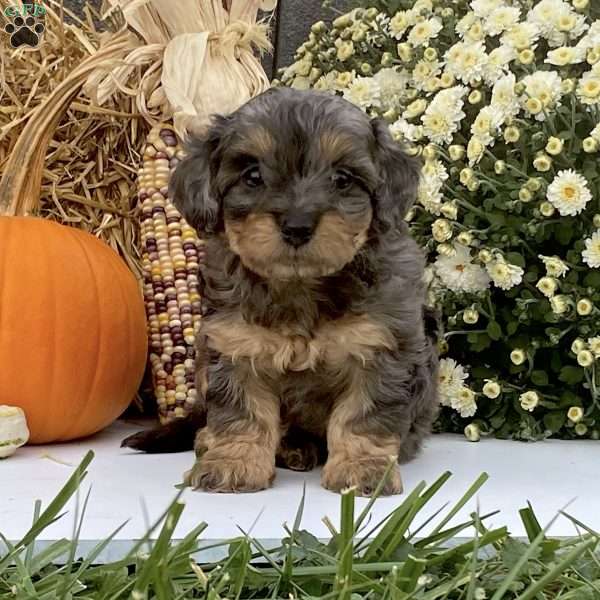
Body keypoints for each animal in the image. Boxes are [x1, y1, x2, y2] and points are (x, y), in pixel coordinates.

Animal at [123, 85, 440, 496]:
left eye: (342, 179)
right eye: (253, 175)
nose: (297, 225)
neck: (300, 286)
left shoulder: (380, 348)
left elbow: (362, 415)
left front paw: (363, 468)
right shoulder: (236, 345)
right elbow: (243, 412)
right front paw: (233, 462)